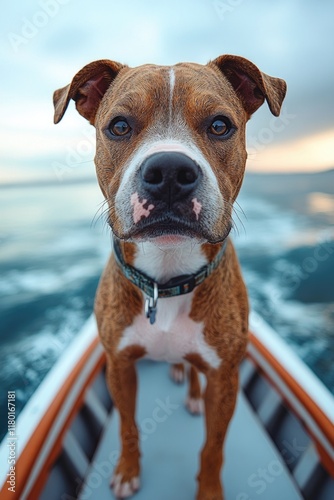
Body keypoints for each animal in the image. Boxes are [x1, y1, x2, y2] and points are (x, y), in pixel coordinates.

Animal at [53, 55, 286, 500]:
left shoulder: (225, 379)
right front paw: (128, 471)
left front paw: (209, 491)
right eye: (119, 126)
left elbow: (213, 447)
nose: (170, 169)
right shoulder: (119, 366)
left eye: (219, 125)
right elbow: (127, 427)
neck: (166, 277)